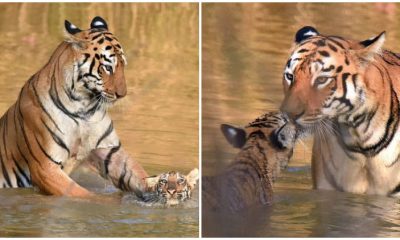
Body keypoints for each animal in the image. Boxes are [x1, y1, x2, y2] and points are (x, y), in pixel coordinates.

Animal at [0, 15, 150, 197]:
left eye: (123, 65)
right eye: (108, 67)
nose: (122, 94)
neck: (84, 107)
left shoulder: (108, 149)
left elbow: (138, 174)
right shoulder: (44, 167)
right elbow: (86, 196)